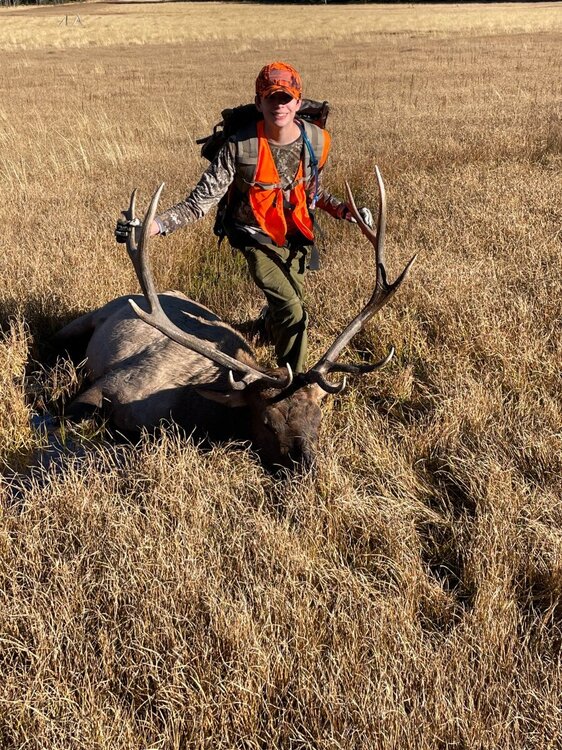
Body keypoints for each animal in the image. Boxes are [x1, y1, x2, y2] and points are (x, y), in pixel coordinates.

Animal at [54, 168, 415, 469]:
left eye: (317, 418)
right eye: (267, 422)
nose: (308, 468)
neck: (189, 411)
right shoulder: (112, 383)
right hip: (90, 318)